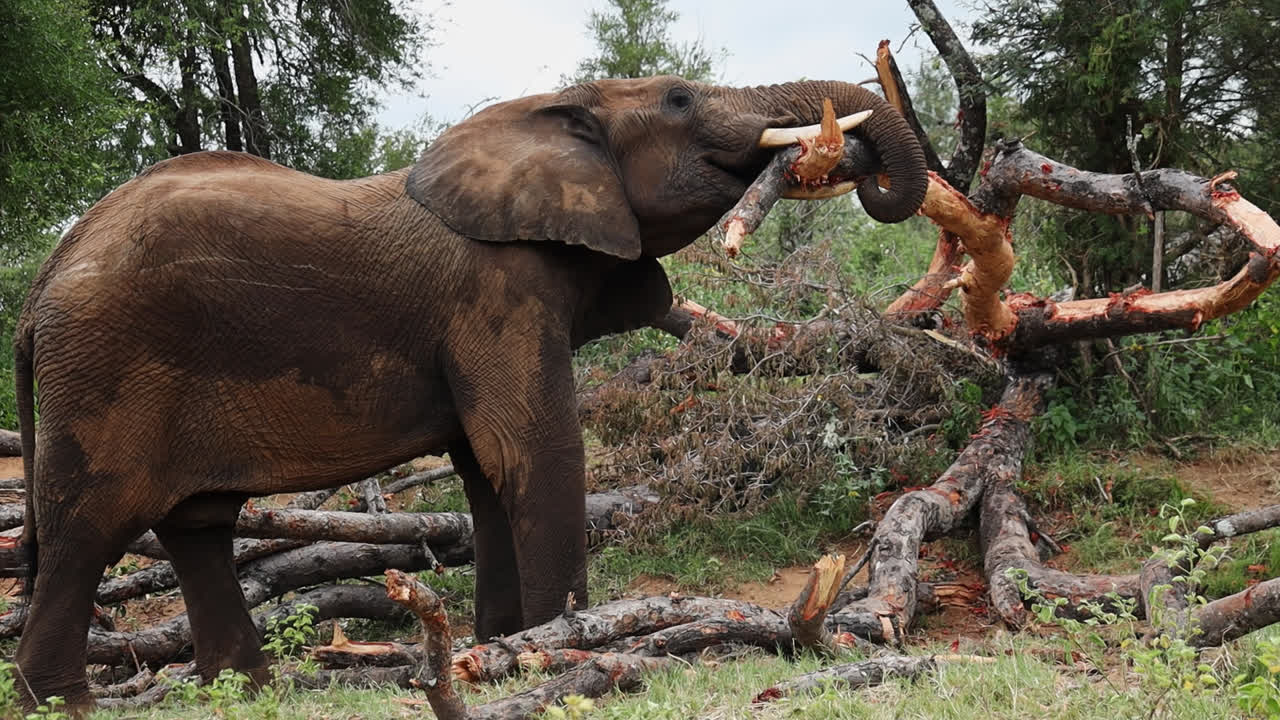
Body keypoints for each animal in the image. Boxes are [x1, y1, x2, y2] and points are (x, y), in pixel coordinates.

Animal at [10, 74, 927, 711]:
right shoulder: (499, 289)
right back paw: (64, 704)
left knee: (197, 526)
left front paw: (500, 645)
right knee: (88, 529)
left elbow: (487, 473)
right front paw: (557, 648)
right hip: (105, 369)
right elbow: (535, 449)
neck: (554, 108)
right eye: (678, 99)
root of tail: (46, 276)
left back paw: (249, 691)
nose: (846, 163)